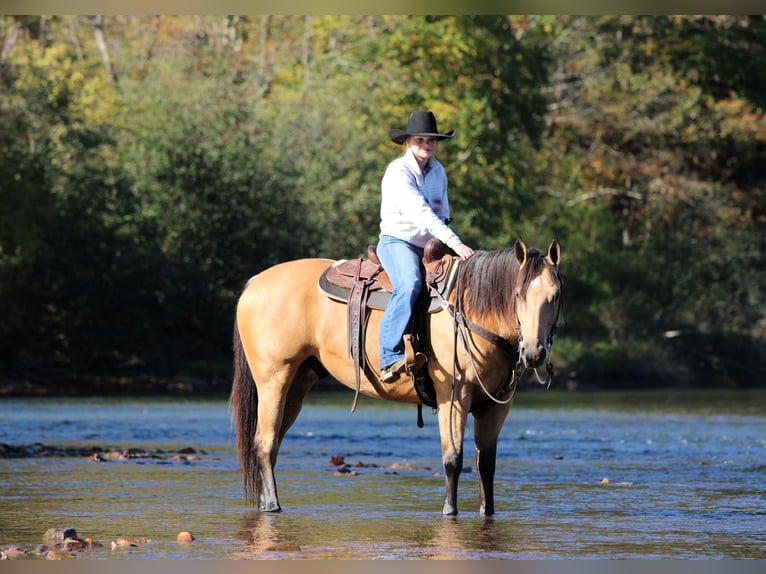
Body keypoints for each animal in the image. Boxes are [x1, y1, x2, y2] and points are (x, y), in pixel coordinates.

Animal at [230, 238, 562, 515]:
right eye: (518, 294)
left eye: (556, 296)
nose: (534, 353)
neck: (472, 309)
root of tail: (254, 284)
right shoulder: (453, 396)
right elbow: (453, 460)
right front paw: (449, 511)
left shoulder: (495, 406)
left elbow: (487, 466)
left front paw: (487, 512)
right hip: (274, 378)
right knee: (264, 442)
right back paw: (273, 506)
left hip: (298, 382)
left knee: (271, 444)